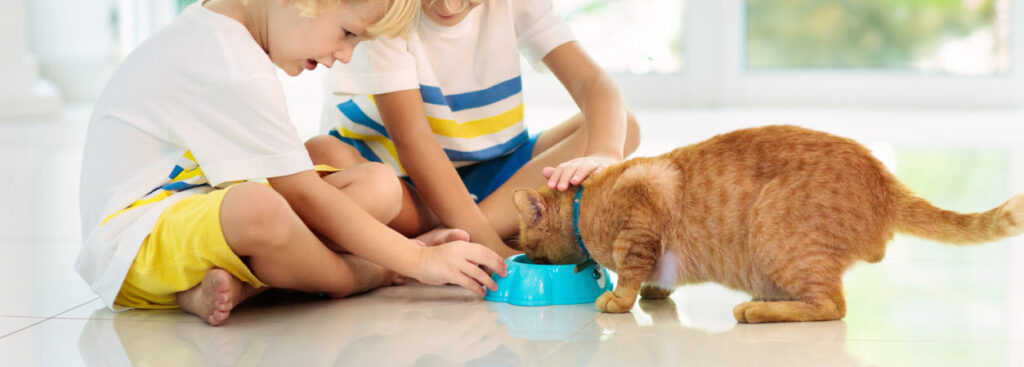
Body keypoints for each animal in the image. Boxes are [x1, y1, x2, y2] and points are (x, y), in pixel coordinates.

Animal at [512, 124, 1024, 321]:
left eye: (528, 247)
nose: (526, 258)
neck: (586, 204)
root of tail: (883, 178)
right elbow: (656, 278)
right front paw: (657, 293)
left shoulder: (640, 225)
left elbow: (631, 273)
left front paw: (619, 300)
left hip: (777, 236)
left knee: (831, 306)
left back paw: (758, 310)